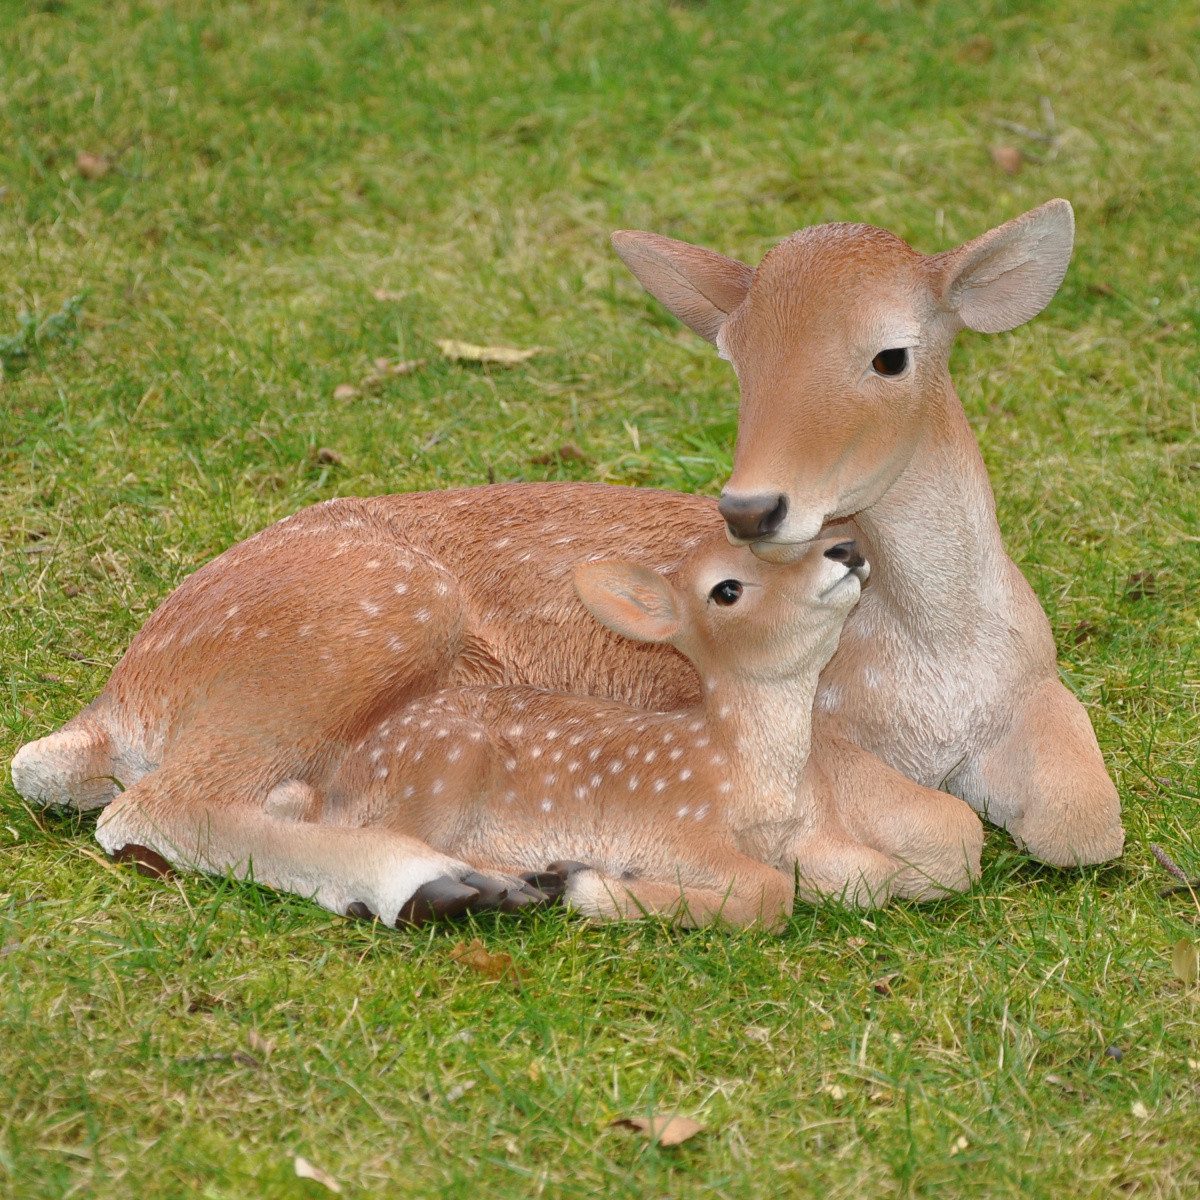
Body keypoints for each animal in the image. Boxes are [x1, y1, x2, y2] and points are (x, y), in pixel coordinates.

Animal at [11, 199, 1118, 926]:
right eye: (738, 363)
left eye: (892, 355)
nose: (752, 507)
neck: (934, 656)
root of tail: (117, 699)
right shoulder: (816, 731)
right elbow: (949, 834)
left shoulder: (1038, 685)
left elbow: (1085, 824)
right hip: (346, 630)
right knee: (158, 806)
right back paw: (433, 882)